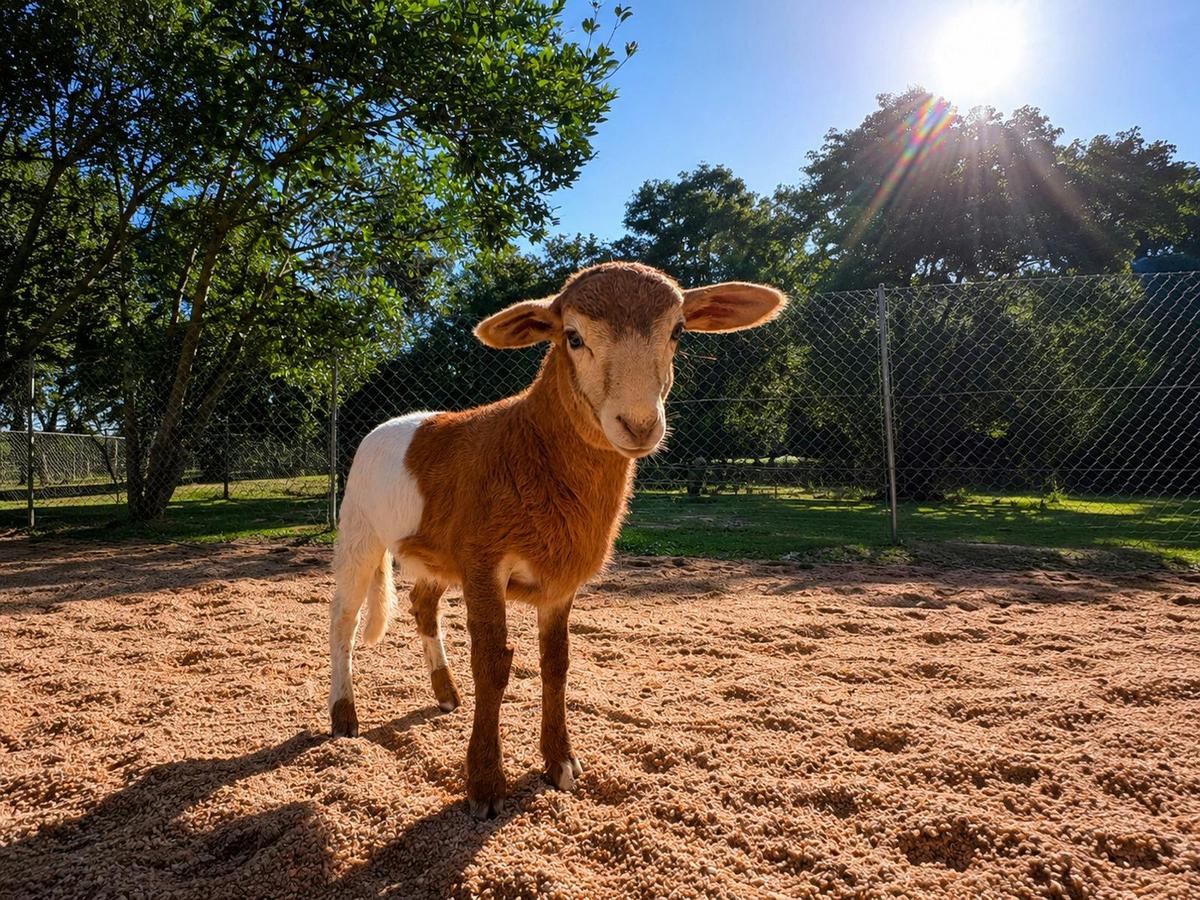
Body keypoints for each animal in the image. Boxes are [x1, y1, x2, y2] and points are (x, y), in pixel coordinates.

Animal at [330, 261, 785, 818]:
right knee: (344, 618)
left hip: (436, 553)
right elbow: (493, 665)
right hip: (358, 526)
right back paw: (344, 716)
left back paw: (445, 693)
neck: (528, 447)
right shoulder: (485, 562)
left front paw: (561, 763)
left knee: (422, 603)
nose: (639, 424)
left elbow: (556, 664)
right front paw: (485, 785)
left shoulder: (557, 579)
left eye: (678, 331)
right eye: (573, 336)